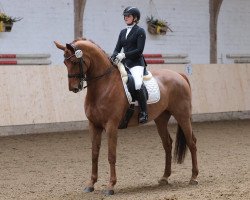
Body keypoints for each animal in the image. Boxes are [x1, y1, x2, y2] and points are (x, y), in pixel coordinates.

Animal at [53, 38, 198, 195]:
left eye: (74, 61)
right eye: (65, 63)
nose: (73, 88)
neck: (103, 85)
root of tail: (179, 75)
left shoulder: (111, 126)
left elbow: (111, 155)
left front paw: (111, 186)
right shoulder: (93, 125)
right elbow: (94, 154)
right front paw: (90, 184)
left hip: (182, 115)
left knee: (191, 143)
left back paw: (194, 177)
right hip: (161, 119)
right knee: (167, 144)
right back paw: (165, 177)